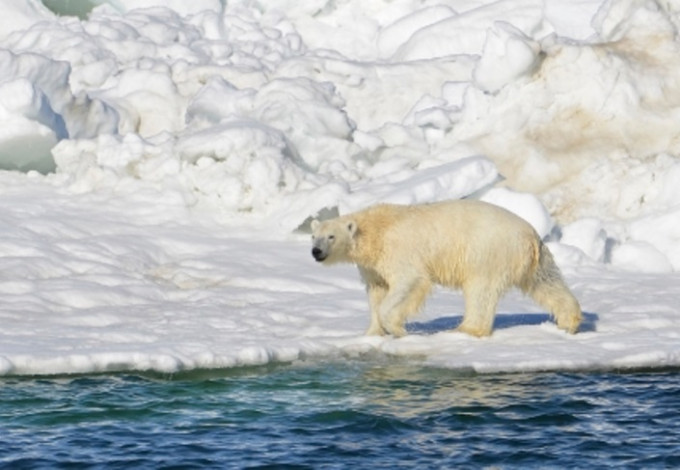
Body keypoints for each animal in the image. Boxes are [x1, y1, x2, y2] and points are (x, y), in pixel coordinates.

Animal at [310, 200, 580, 336]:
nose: (316, 252)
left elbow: (409, 281)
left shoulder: (399, 251)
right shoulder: (372, 266)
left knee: (480, 291)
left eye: (331, 236)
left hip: (487, 252)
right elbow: (377, 291)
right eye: (314, 236)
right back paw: (570, 321)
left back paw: (466, 329)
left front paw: (396, 328)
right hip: (534, 259)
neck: (375, 230)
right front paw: (373, 332)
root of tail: (530, 236)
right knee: (547, 282)